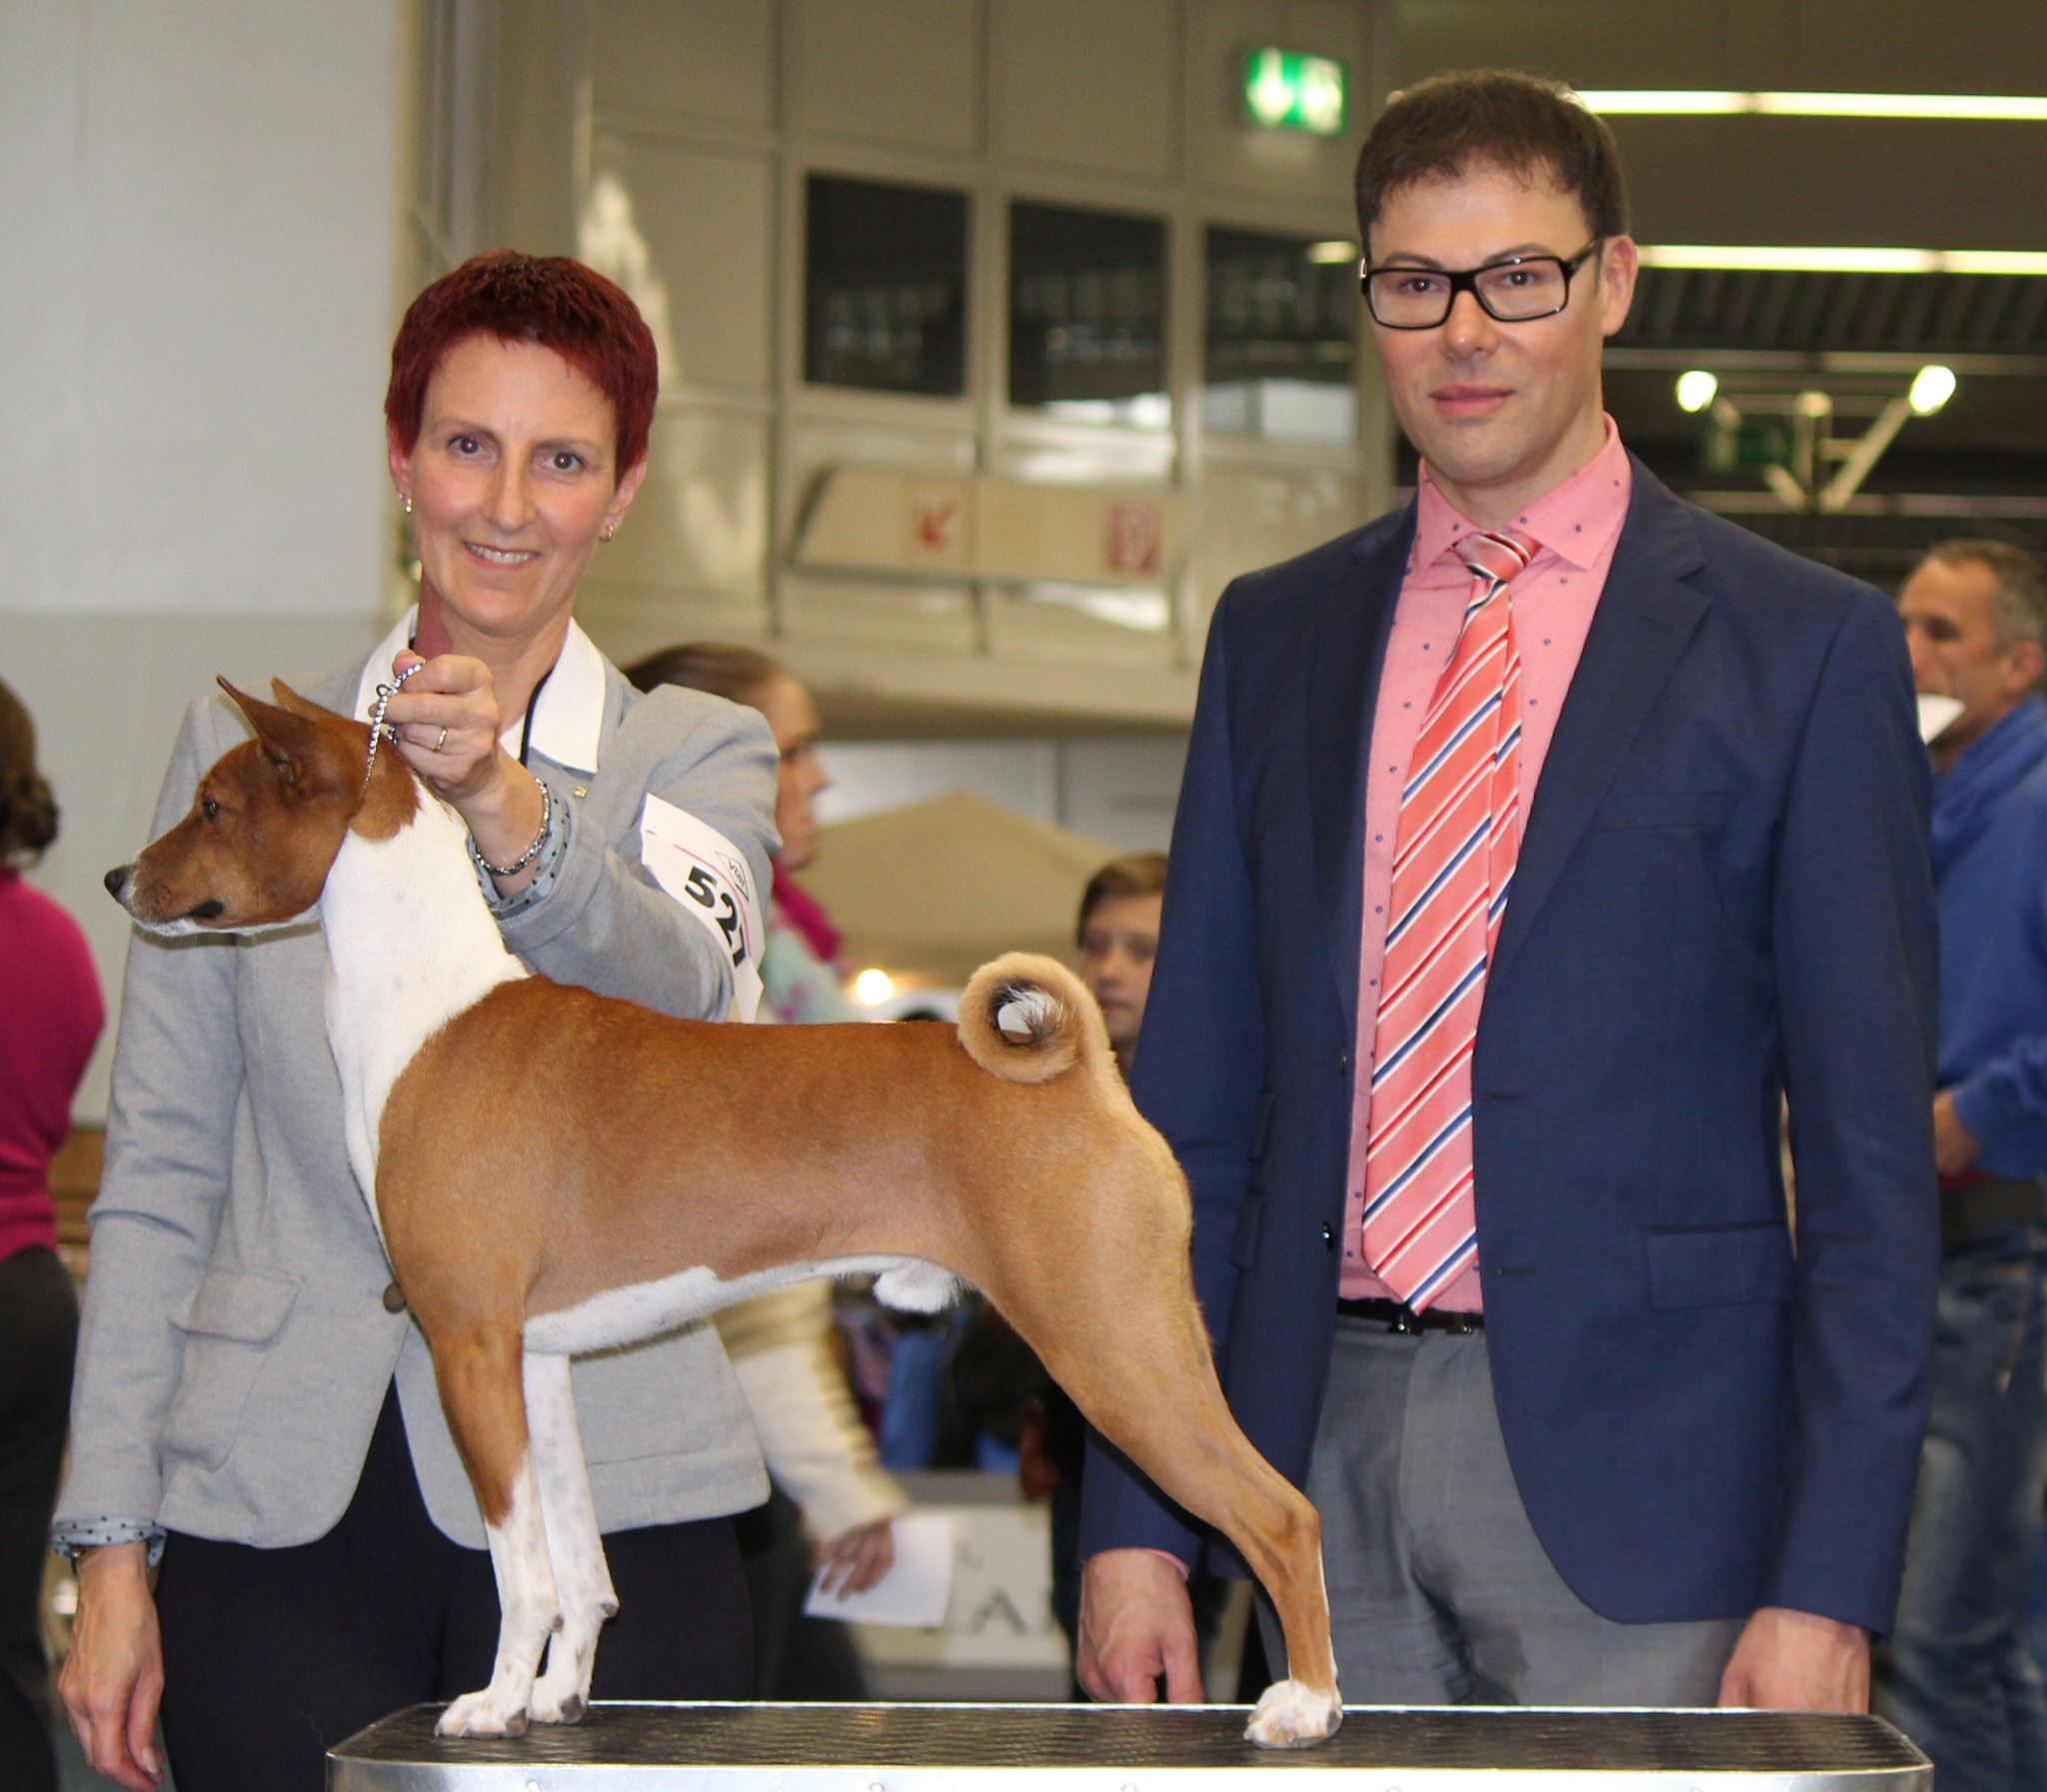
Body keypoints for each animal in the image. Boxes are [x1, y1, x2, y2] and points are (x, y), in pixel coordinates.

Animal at [105, 679, 1342, 1747]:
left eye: (213, 806)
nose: (118, 876)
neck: (426, 1009)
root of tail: (1086, 1073)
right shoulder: (533, 1360)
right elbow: (580, 1564)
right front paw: (554, 1696)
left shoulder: (467, 1343)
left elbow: (521, 1565)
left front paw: (493, 1702)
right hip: (1142, 1338)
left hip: (1109, 1347)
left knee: (1283, 1513)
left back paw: (1306, 1704)